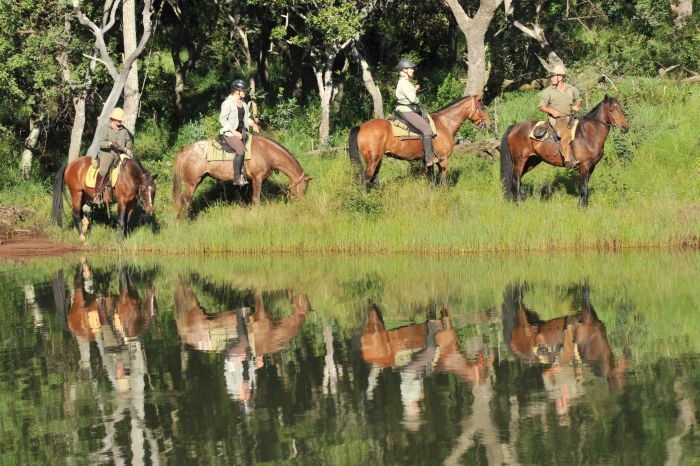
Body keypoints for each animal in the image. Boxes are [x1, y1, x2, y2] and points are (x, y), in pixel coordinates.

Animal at [171, 135, 314, 222]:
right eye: (303, 188)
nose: (302, 205)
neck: (266, 152)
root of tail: (184, 151)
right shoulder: (257, 178)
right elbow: (256, 199)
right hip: (192, 183)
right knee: (184, 201)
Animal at [348, 94, 490, 187]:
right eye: (482, 108)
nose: (488, 124)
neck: (444, 124)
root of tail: (361, 127)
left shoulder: (428, 161)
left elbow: (431, 180)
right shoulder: (443, 160)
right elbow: (443, 181)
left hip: (378, 159)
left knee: (373, 179)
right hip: (372, 160)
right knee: (366, 180)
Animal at [500, 94, 632, 206]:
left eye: (620, 109)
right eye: (611, 110)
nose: (625, 127)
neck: (588, 134)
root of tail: (515, 127)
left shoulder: (591, 167)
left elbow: (584, 187)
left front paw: (581, 205)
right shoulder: (584, 166)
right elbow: (584, 188)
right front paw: (583, 208)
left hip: (532, 161)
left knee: (519, 178)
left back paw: (522, 198)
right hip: (520, 160)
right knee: (515, 179)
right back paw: (518, 203)